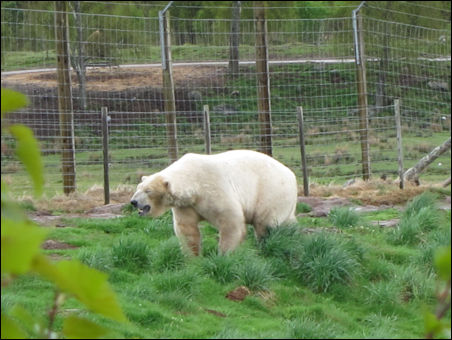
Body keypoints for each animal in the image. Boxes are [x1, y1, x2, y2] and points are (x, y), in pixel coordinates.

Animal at [131, 149, 298, 255]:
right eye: (138, 187)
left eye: (148, 190)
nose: (133, 202)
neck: (193, 181)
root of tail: (291, 175)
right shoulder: (186, 204)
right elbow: (186, 229)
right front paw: (192, 258)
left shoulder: (213, 188)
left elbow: (231, 221)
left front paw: (224, 255)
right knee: (288, 222)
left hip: (271, 192)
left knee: (265, 224)